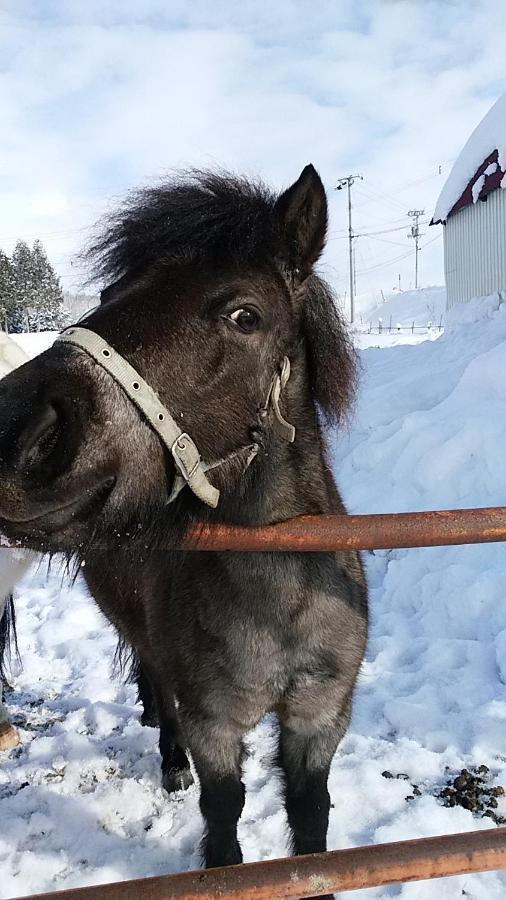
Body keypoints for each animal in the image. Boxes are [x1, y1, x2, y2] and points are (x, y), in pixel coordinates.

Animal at [0, 165, 368, 884]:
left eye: (243, 316)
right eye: (111, 295)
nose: (17, 435)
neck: (283, 593)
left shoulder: (320, 719)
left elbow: (311, 823)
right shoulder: (213, 723)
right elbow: (223, 818)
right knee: (156, 680)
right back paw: (169, 763)